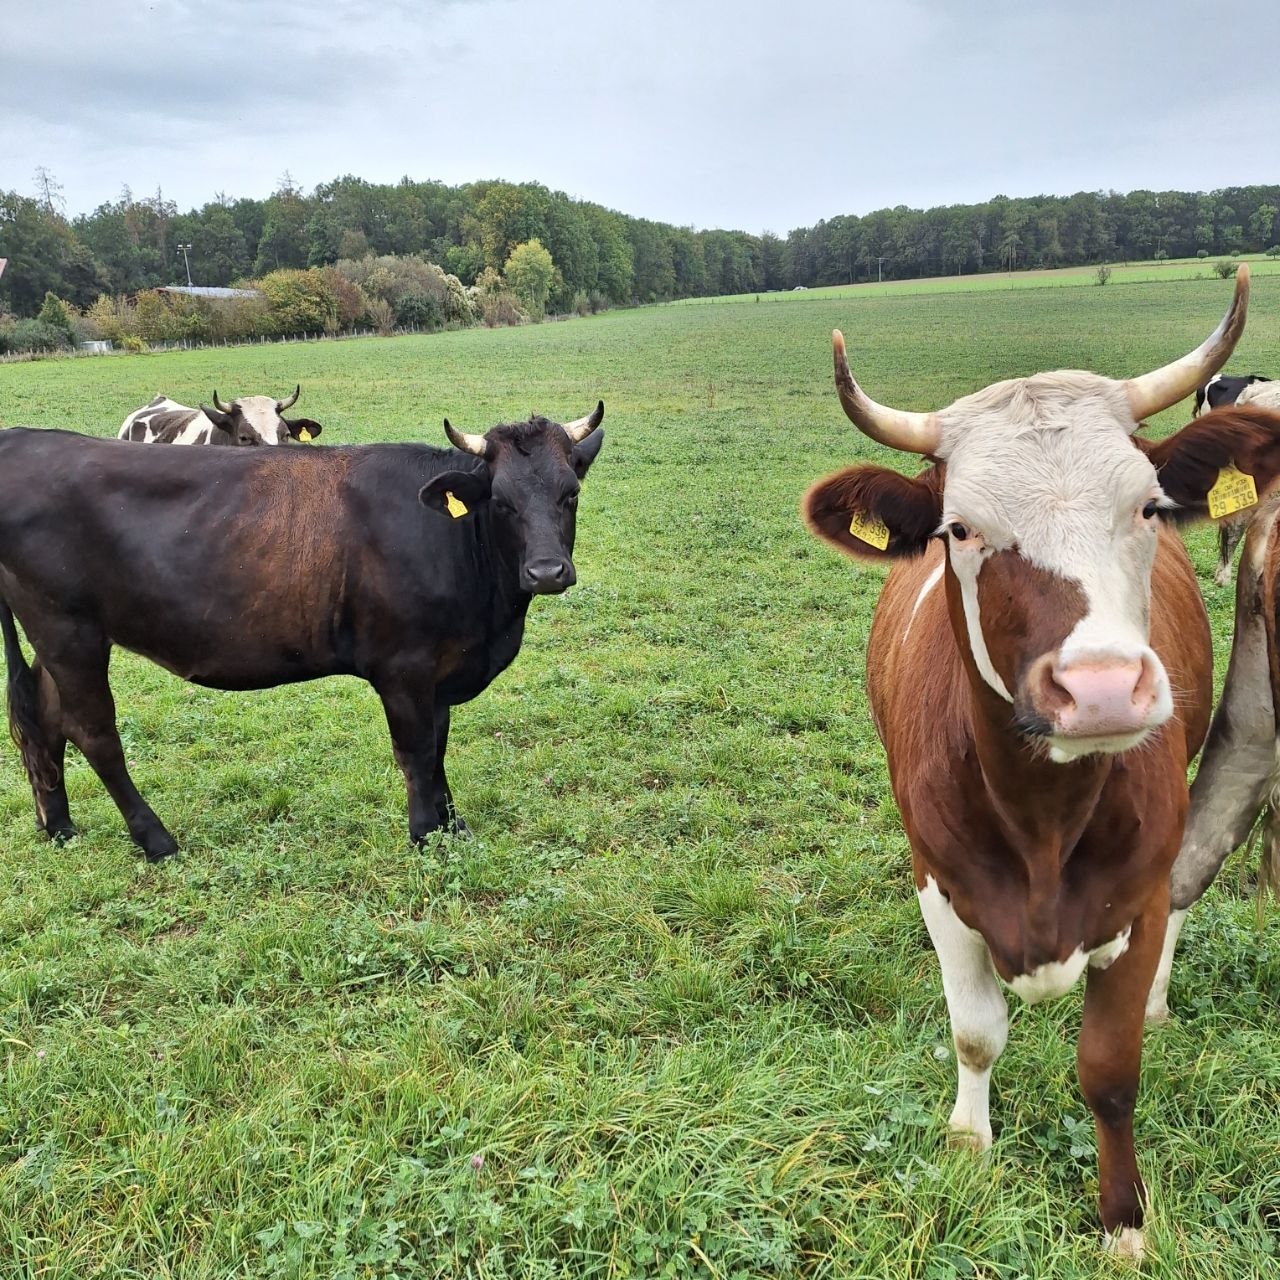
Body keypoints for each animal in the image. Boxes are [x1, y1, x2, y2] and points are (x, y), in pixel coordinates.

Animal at [1, 403, 604, 858]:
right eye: (501, 501)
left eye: (570, 492)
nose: (546, 572)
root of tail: (19, 439)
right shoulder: (402, 667)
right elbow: (415, 750)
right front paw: (424, 833)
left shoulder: (440, 668)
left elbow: (438, 747)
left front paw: (452, 825)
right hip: (67, 630)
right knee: (95, 733)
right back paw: (156, 839)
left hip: (61, 636)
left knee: (43, 718)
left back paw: (58, 826)